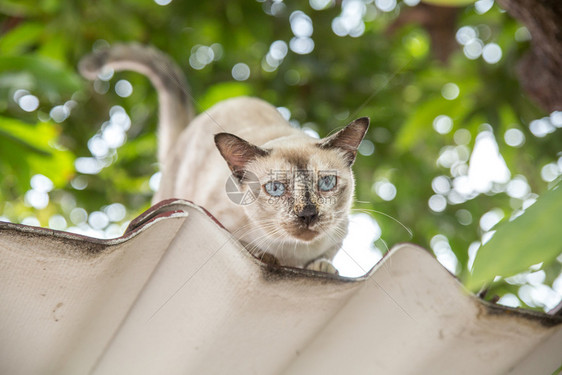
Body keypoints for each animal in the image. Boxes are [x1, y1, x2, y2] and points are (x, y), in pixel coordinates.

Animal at [80, 43, 368, 274]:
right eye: (276, 188)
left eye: (327, 183)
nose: (307, 214)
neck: (292, 253)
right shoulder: (218, 222)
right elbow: (252, 248)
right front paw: (269, 257)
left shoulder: (339, 233)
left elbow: (325, 258)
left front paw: (322, 267)